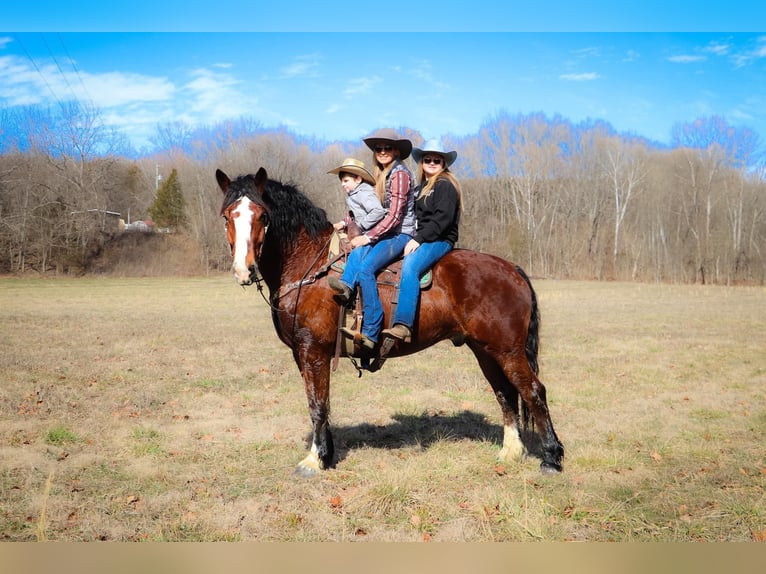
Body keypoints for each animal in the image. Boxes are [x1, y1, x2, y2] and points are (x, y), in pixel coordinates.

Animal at [216, 169, 564, 480]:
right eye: (227, 216)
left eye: (262, 216)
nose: (243, 269)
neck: (312, 266)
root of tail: (512, 269)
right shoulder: (301, 354)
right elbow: (320, 403)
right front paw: (326, 453)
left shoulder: (313, 351)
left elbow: (318, 405)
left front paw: (314, 460)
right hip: (485, 350)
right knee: (506, 393)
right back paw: (510, 452)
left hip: (507, 350)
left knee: (533, 391)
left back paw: (551, 458)